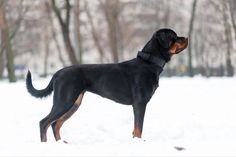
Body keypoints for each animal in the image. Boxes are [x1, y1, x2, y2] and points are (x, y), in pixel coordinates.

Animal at [25, 28, 188, 142]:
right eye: (174, 37)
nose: (186, 37)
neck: (149, 62)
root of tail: (56, 73)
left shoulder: (138, 105)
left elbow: (135, 129)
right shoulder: (140, 103)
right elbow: (138, 128)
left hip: (74, 103)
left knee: (55, 124)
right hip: (64, 101)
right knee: (44, 122)